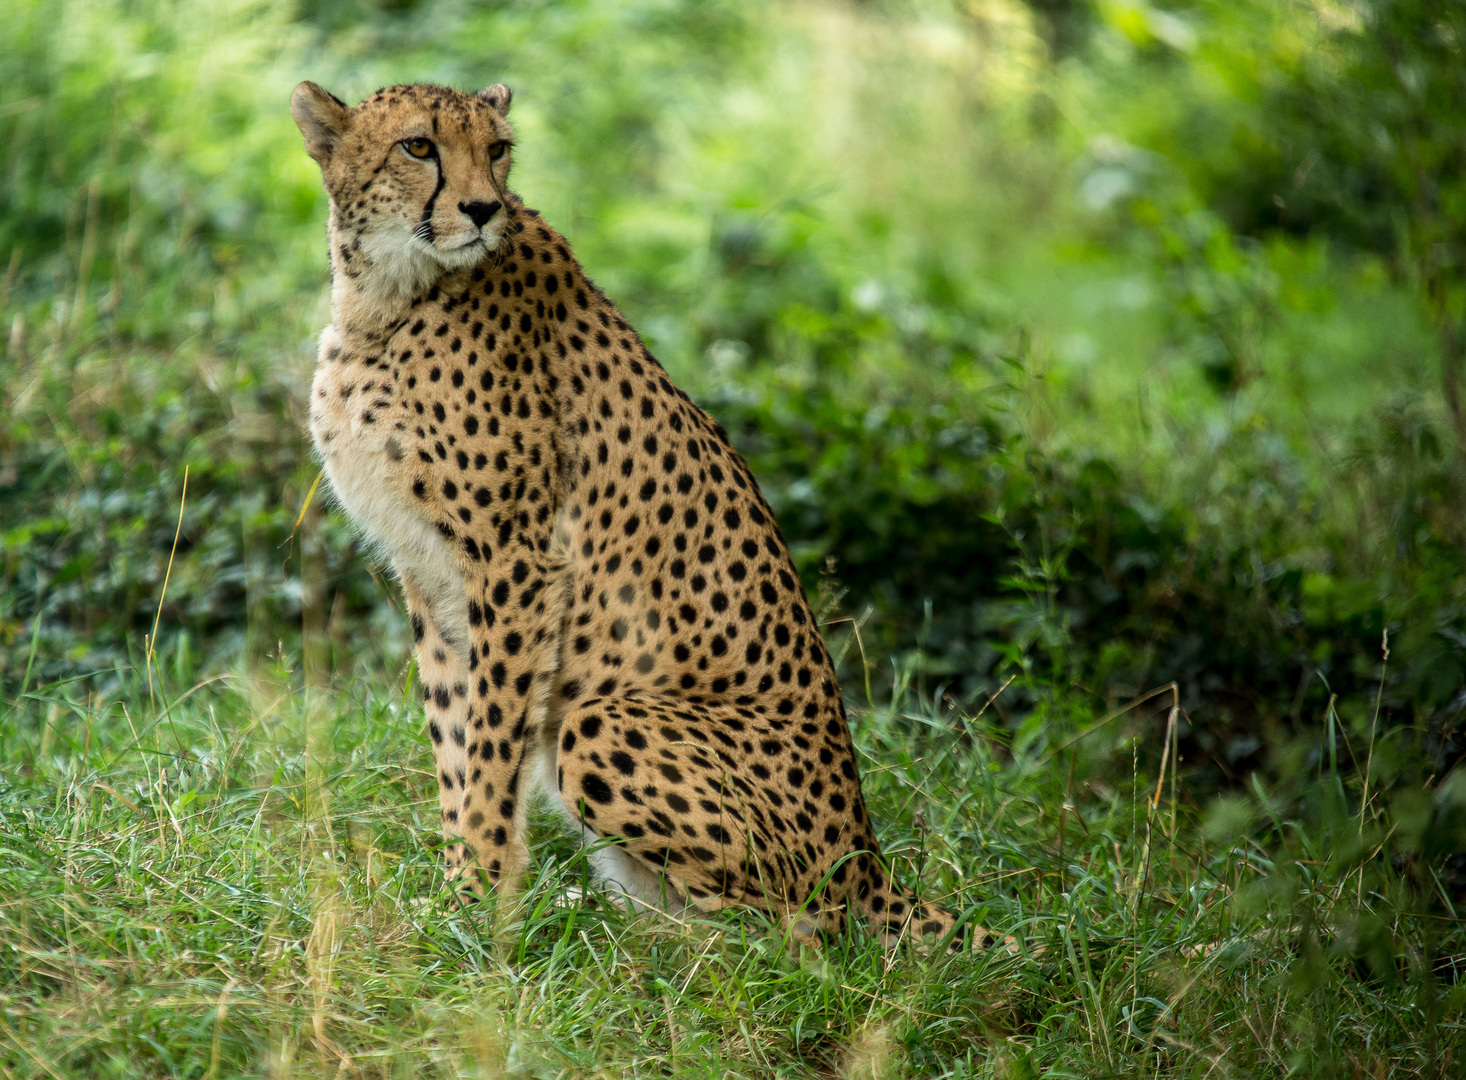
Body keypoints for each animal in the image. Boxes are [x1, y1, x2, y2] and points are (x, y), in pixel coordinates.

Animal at [290, 79, 991, 949]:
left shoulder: (516, 566)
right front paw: (459, 890)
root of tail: (869, 858)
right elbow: (453, 736)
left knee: (794, 938)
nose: (484, 209)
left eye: (497, 149)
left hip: (602, 723)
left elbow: (488, 748)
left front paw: (476, 902)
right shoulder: (430, 574)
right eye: (419, 146)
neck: (388, 292)